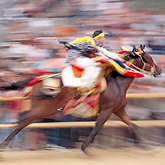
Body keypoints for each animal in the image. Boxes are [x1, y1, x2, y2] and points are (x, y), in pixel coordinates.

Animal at [0, 44, 161, 151]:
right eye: (149, 58)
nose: (159, 70)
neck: (117, 82)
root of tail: (39, 78)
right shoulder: (107, 110)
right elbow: (97, 128)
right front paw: (84, 147)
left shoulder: (118, 109)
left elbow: (133, 125)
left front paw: (144, 144)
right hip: (46, 108)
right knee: (24, 119)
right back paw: (5, 144)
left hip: (45, 109)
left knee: (24, 119)